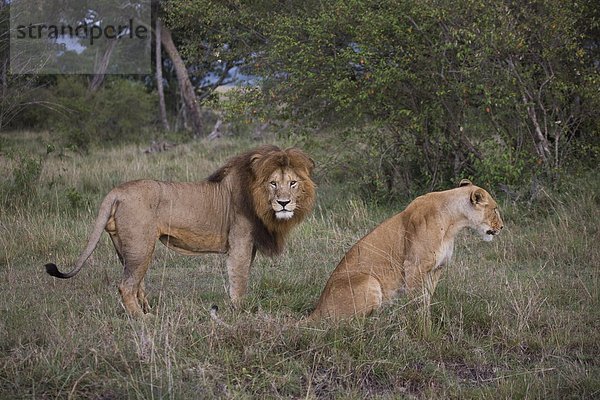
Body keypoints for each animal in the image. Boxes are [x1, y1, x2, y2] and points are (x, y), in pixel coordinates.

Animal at [45, 145, 316, 318]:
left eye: (293, 183)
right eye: (273, 183)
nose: (283, 203)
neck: (259, 200)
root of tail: (116, 191)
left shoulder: (248, 247)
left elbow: (241, 277)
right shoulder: (240, 243)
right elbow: (239, 279)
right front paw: (240, 312)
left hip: (125, 247)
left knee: (136, 283)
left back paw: (148, 311)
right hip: (141, 246)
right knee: (126, 286)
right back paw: (143, 320)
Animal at [310, 180, 502, 324]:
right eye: (494, 209)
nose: (501, 227)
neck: (453, 223)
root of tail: (318, 308)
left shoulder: (437, 268)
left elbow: (427, 298)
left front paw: (426, 321)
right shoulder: (414, 266)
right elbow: (416, 301)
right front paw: (419, 325)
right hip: (369, 280)